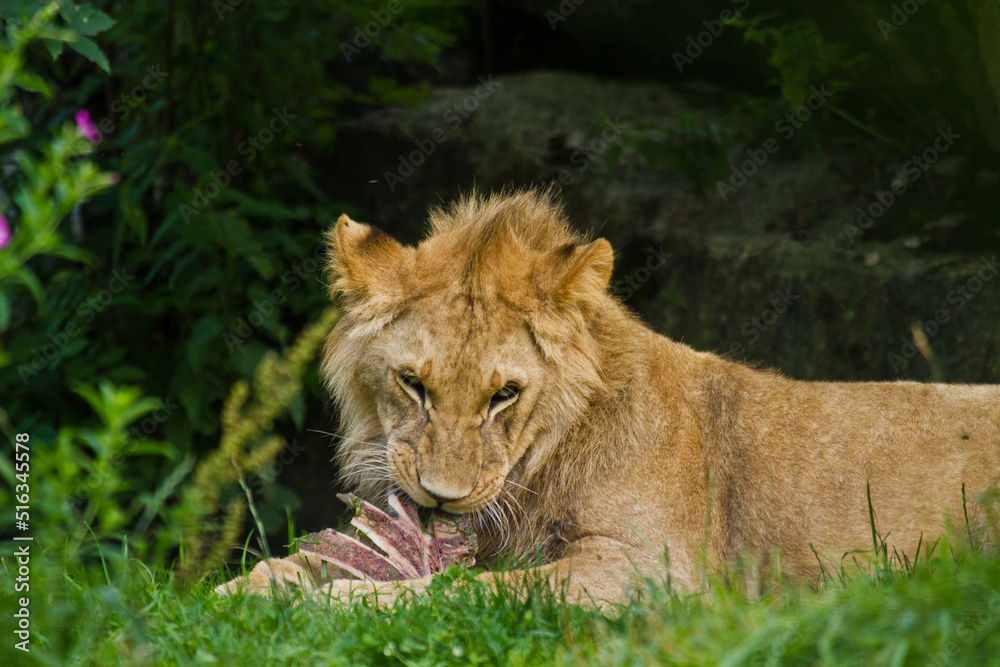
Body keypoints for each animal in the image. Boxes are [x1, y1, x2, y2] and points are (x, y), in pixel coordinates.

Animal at [216, 190, 1000, 605]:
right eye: (414, 383)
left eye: (505, 394)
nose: (441, 497)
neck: (538, 465)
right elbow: (294, 563)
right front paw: (237, 595)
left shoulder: (656, 569)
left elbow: (479, 588)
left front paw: (345, 602)